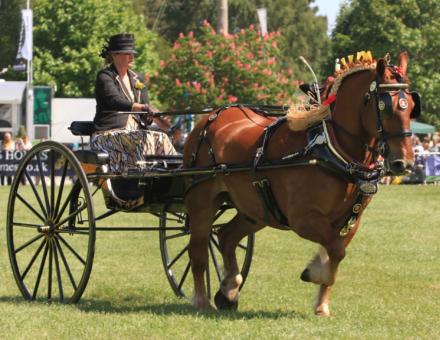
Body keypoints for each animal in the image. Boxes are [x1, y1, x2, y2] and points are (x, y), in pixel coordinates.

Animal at [181, 51, 420, 316]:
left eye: (411, 107)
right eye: (384, 107)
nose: (403, 163)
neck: (330, 149)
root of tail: (209, 119)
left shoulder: (351, 221)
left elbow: (335, 251)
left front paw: (322, 304)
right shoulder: (303, 219)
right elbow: (336, 249)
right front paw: (315, 273)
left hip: (256, 210)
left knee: (226, 237)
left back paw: (229, 289)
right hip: (202, 202)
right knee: (198, 250)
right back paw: (202, 300)